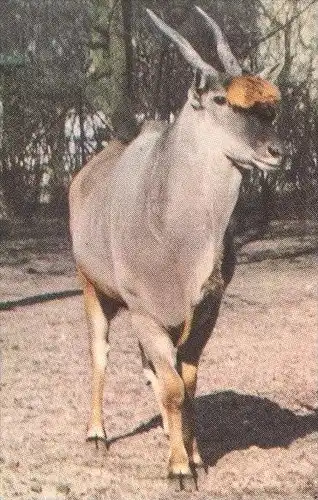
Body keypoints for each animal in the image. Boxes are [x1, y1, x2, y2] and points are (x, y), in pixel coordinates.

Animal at [69, 5, 284, 484]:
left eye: (268, 109)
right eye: (220, 100)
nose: (276, 152)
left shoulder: (204, 313)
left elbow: (186, 384)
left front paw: (195, 456)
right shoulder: (145, 312)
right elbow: (171, 387)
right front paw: (179, 467)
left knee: (152, 370)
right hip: (94, 290)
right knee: (100, 355)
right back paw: (96, 434)